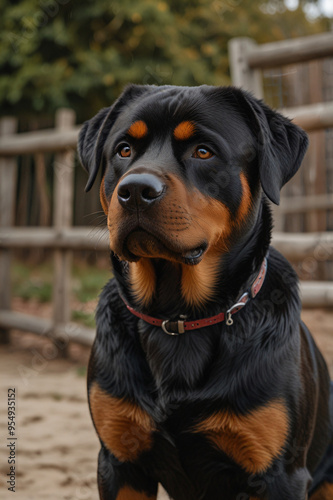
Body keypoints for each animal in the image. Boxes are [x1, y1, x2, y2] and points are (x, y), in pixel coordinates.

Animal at [78, 84, 332, 498]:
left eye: (203, 151)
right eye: (124, 150)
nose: (135, 190)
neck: (177, 318)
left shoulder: (280, 473)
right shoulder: (119, 462)